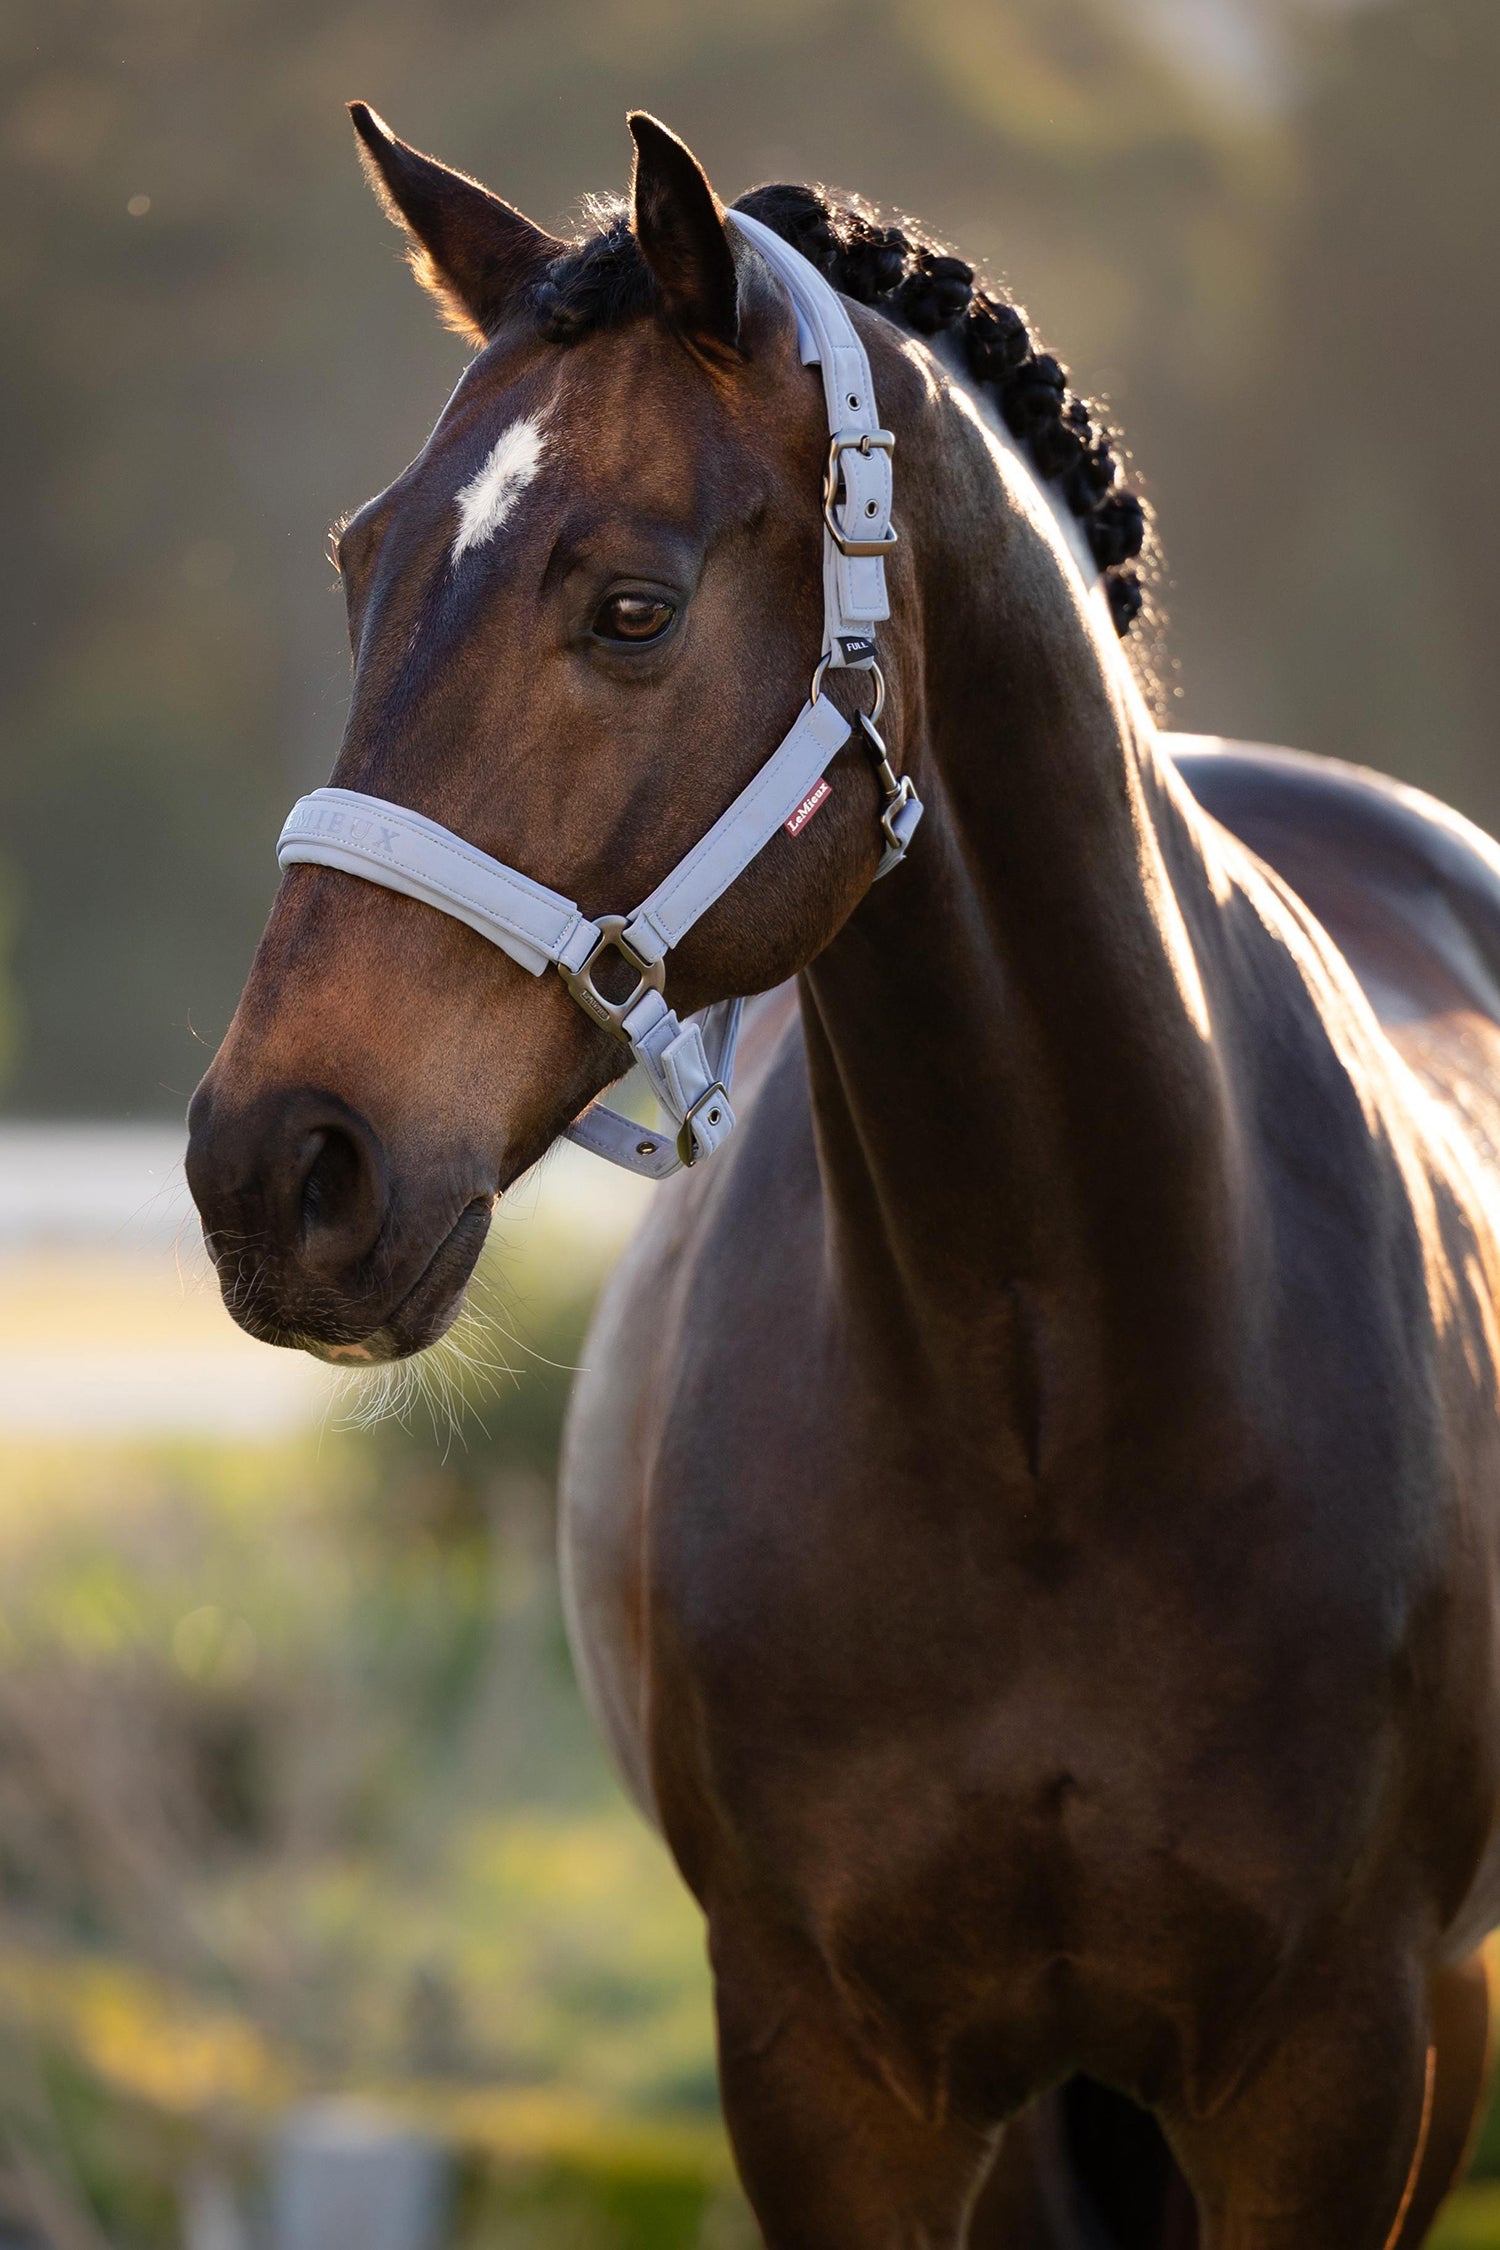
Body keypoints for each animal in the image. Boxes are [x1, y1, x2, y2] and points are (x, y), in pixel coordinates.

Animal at [184, 106, 1500, 2249]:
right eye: (362, 562)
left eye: (632, 605)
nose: (278, 1164)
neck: (1055, 1377)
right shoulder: (824, 2074)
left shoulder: (1340, 2067)